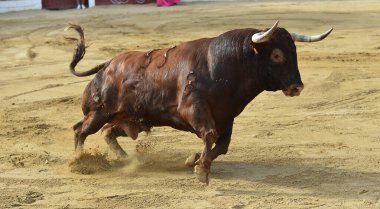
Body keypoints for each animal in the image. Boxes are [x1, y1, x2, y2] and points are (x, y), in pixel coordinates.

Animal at [65, 21, 332, 185]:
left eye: (294, 52)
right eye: (276, 55)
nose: (297, 87)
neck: (223, 66)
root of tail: (107, 65)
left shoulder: (226, 116)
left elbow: (221, 145)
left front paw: (193, 161)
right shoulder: (194, 109)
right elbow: (210, 135)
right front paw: (202, 171)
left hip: (132, 120)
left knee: (108, 133)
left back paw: (124, 158)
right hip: (99, 111)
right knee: (81, 130)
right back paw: (79, 161)